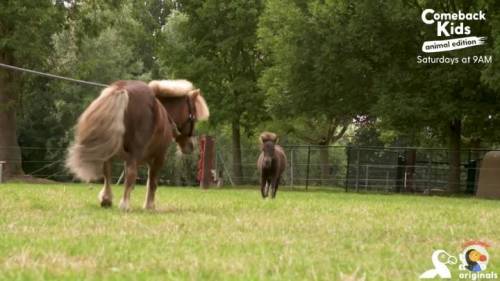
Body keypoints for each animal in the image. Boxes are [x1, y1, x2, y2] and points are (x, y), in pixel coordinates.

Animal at [66, 80, 209, 209]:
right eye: (194, 117)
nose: (191, 146)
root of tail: (122, 89)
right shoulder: (159, 156)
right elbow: (152, 182)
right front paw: (149, 205)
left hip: (109, 150)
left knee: (107, 171)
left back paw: (107, 199)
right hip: (135, 152)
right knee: (130, 173)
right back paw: (124, 204)